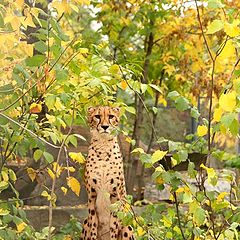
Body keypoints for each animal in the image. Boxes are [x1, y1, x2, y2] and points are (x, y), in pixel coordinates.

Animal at [80, 106, 133, 240]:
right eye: (97, 116)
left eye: (111, 116)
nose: (104, 126)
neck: (103, 146)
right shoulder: (92, 197)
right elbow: (93, 227)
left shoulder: (115, 197)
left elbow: (113, 227)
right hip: (85, 222)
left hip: (127, 224)